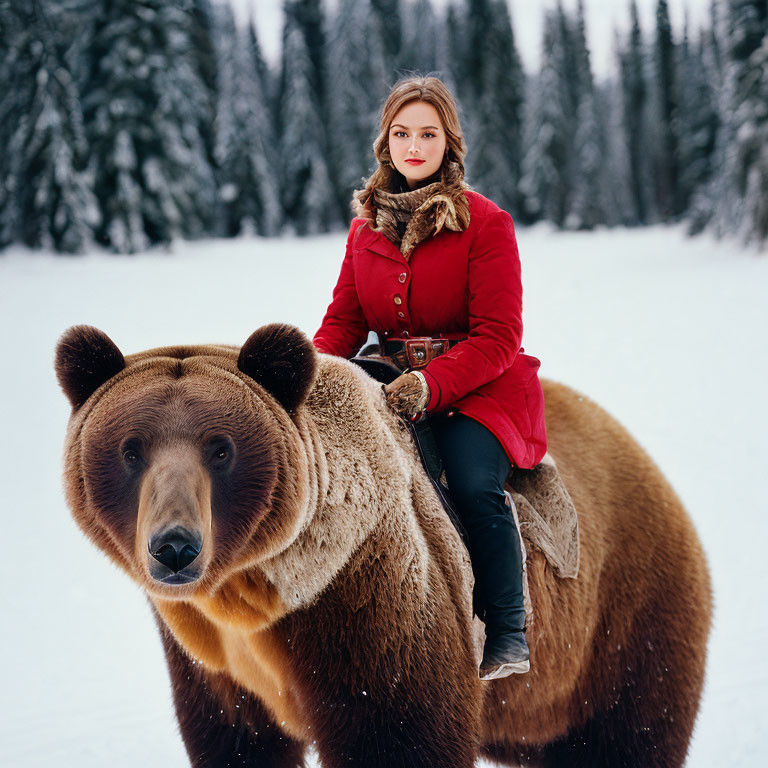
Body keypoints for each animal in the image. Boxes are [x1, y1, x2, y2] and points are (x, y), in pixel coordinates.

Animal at [55, 320, 712, 764]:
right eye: (130, 449)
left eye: (222, 448)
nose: (174, 547)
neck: (252, 598)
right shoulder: (216, 666)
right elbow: (235, 741)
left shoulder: (366, 609)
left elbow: (400, 736)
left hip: (619, 630)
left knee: (628, 736)